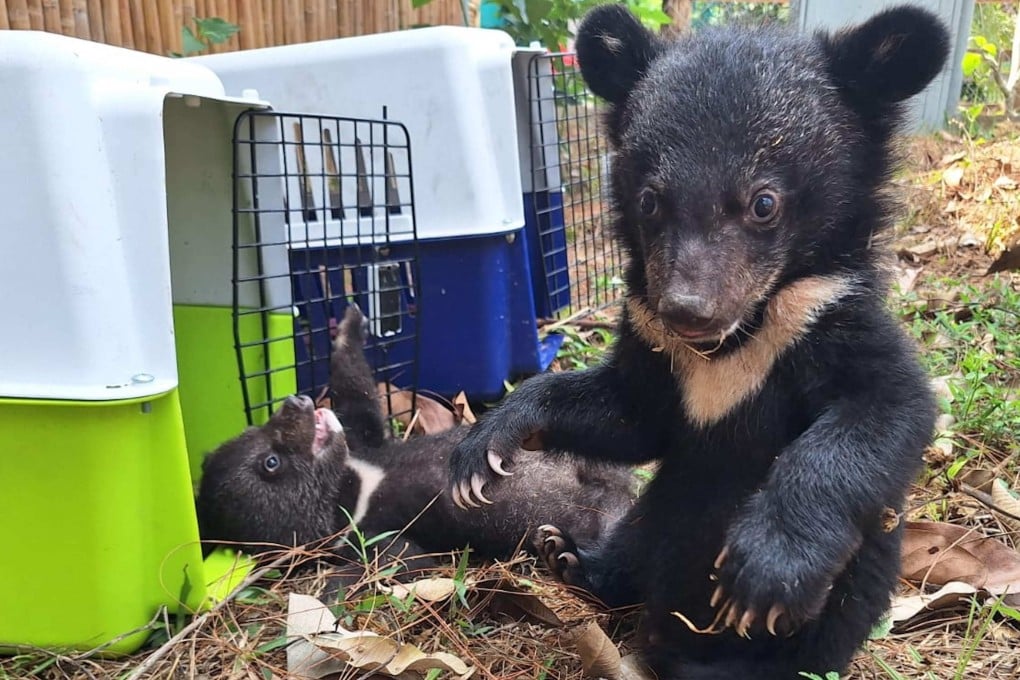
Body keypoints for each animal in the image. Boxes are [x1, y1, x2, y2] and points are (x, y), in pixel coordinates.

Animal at [195, 305, 637, 573]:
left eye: (256, 429)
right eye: (271, 463)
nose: (294, 401)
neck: (355, 486)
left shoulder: (365, 442)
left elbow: (359, 399)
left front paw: (350, 323)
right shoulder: (373, 536)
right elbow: (406, 562)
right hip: (598, 515)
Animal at [447, 4, 946, 678]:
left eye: (764, 203)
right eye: (650, 201)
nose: (686, 312)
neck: (736, 341)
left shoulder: (830, 317)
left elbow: (884, 407)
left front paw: (766, 570)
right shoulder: (650, 344)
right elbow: (631, 417)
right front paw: (484, 450)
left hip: (856, 581)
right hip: (655, 508)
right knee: (638, 540)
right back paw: (571, 557)